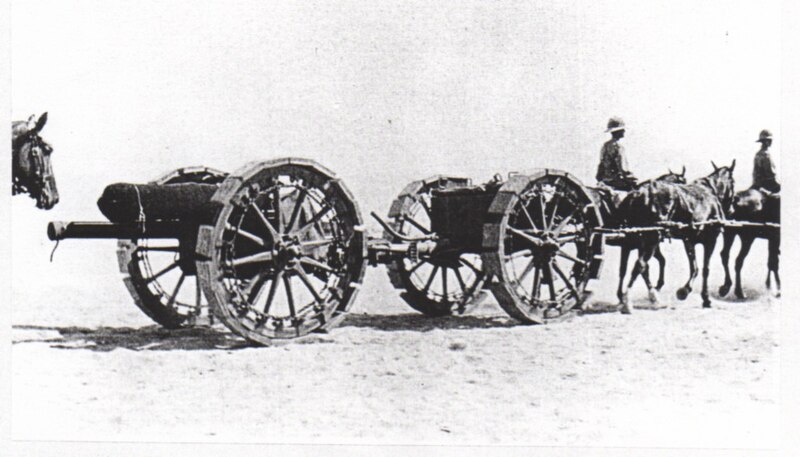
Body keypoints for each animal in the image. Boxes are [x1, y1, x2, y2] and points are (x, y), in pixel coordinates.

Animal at [620, 160, 736, 314]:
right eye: (733, 182)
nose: (731, 209)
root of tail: (639, 193)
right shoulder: (711, 240)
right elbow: (705, 269)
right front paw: (704, 297)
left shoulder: (689, 241)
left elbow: (694, 267)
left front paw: (686, 291)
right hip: (651, 238)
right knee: (640, 265)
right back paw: (628, 301)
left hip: (637, 238)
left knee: (640, 267)